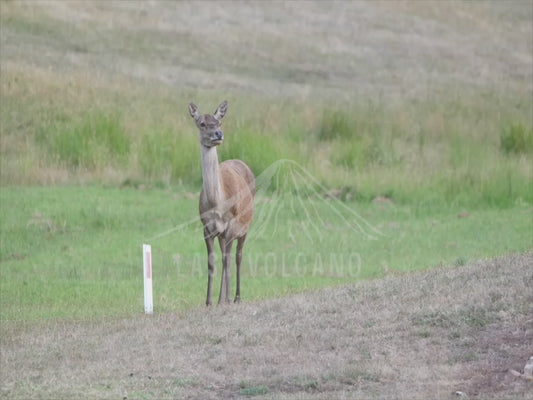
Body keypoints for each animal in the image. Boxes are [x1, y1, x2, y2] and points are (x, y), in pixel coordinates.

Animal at [188, 101, 255, 306]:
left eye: (219, 122)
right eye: (202, 123)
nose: (218, 134)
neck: (217, 204)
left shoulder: (231, 225)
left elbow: (227, 260)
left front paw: (226, 298)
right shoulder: (207, 227)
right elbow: (211, 262)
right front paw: (209, 301)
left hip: (246, 227)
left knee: (238, 256)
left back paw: (236, 297)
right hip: (222, 235)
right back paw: (222, 298)